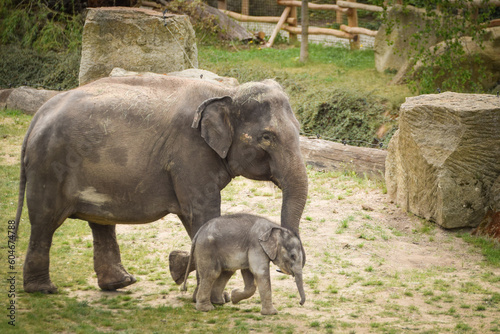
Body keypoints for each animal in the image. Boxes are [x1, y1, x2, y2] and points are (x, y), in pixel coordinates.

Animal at [14, 74, 308, 294]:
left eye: (299, 129)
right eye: (267, 137)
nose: (284, 264)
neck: (227, 92)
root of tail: (36, 118)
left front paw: (176, 267)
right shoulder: (189, 153)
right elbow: (201, 213)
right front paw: (208, 293)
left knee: (100, 223)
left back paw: (120, 283)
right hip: (49, 167)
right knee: (44, 221)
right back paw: (43, 289)